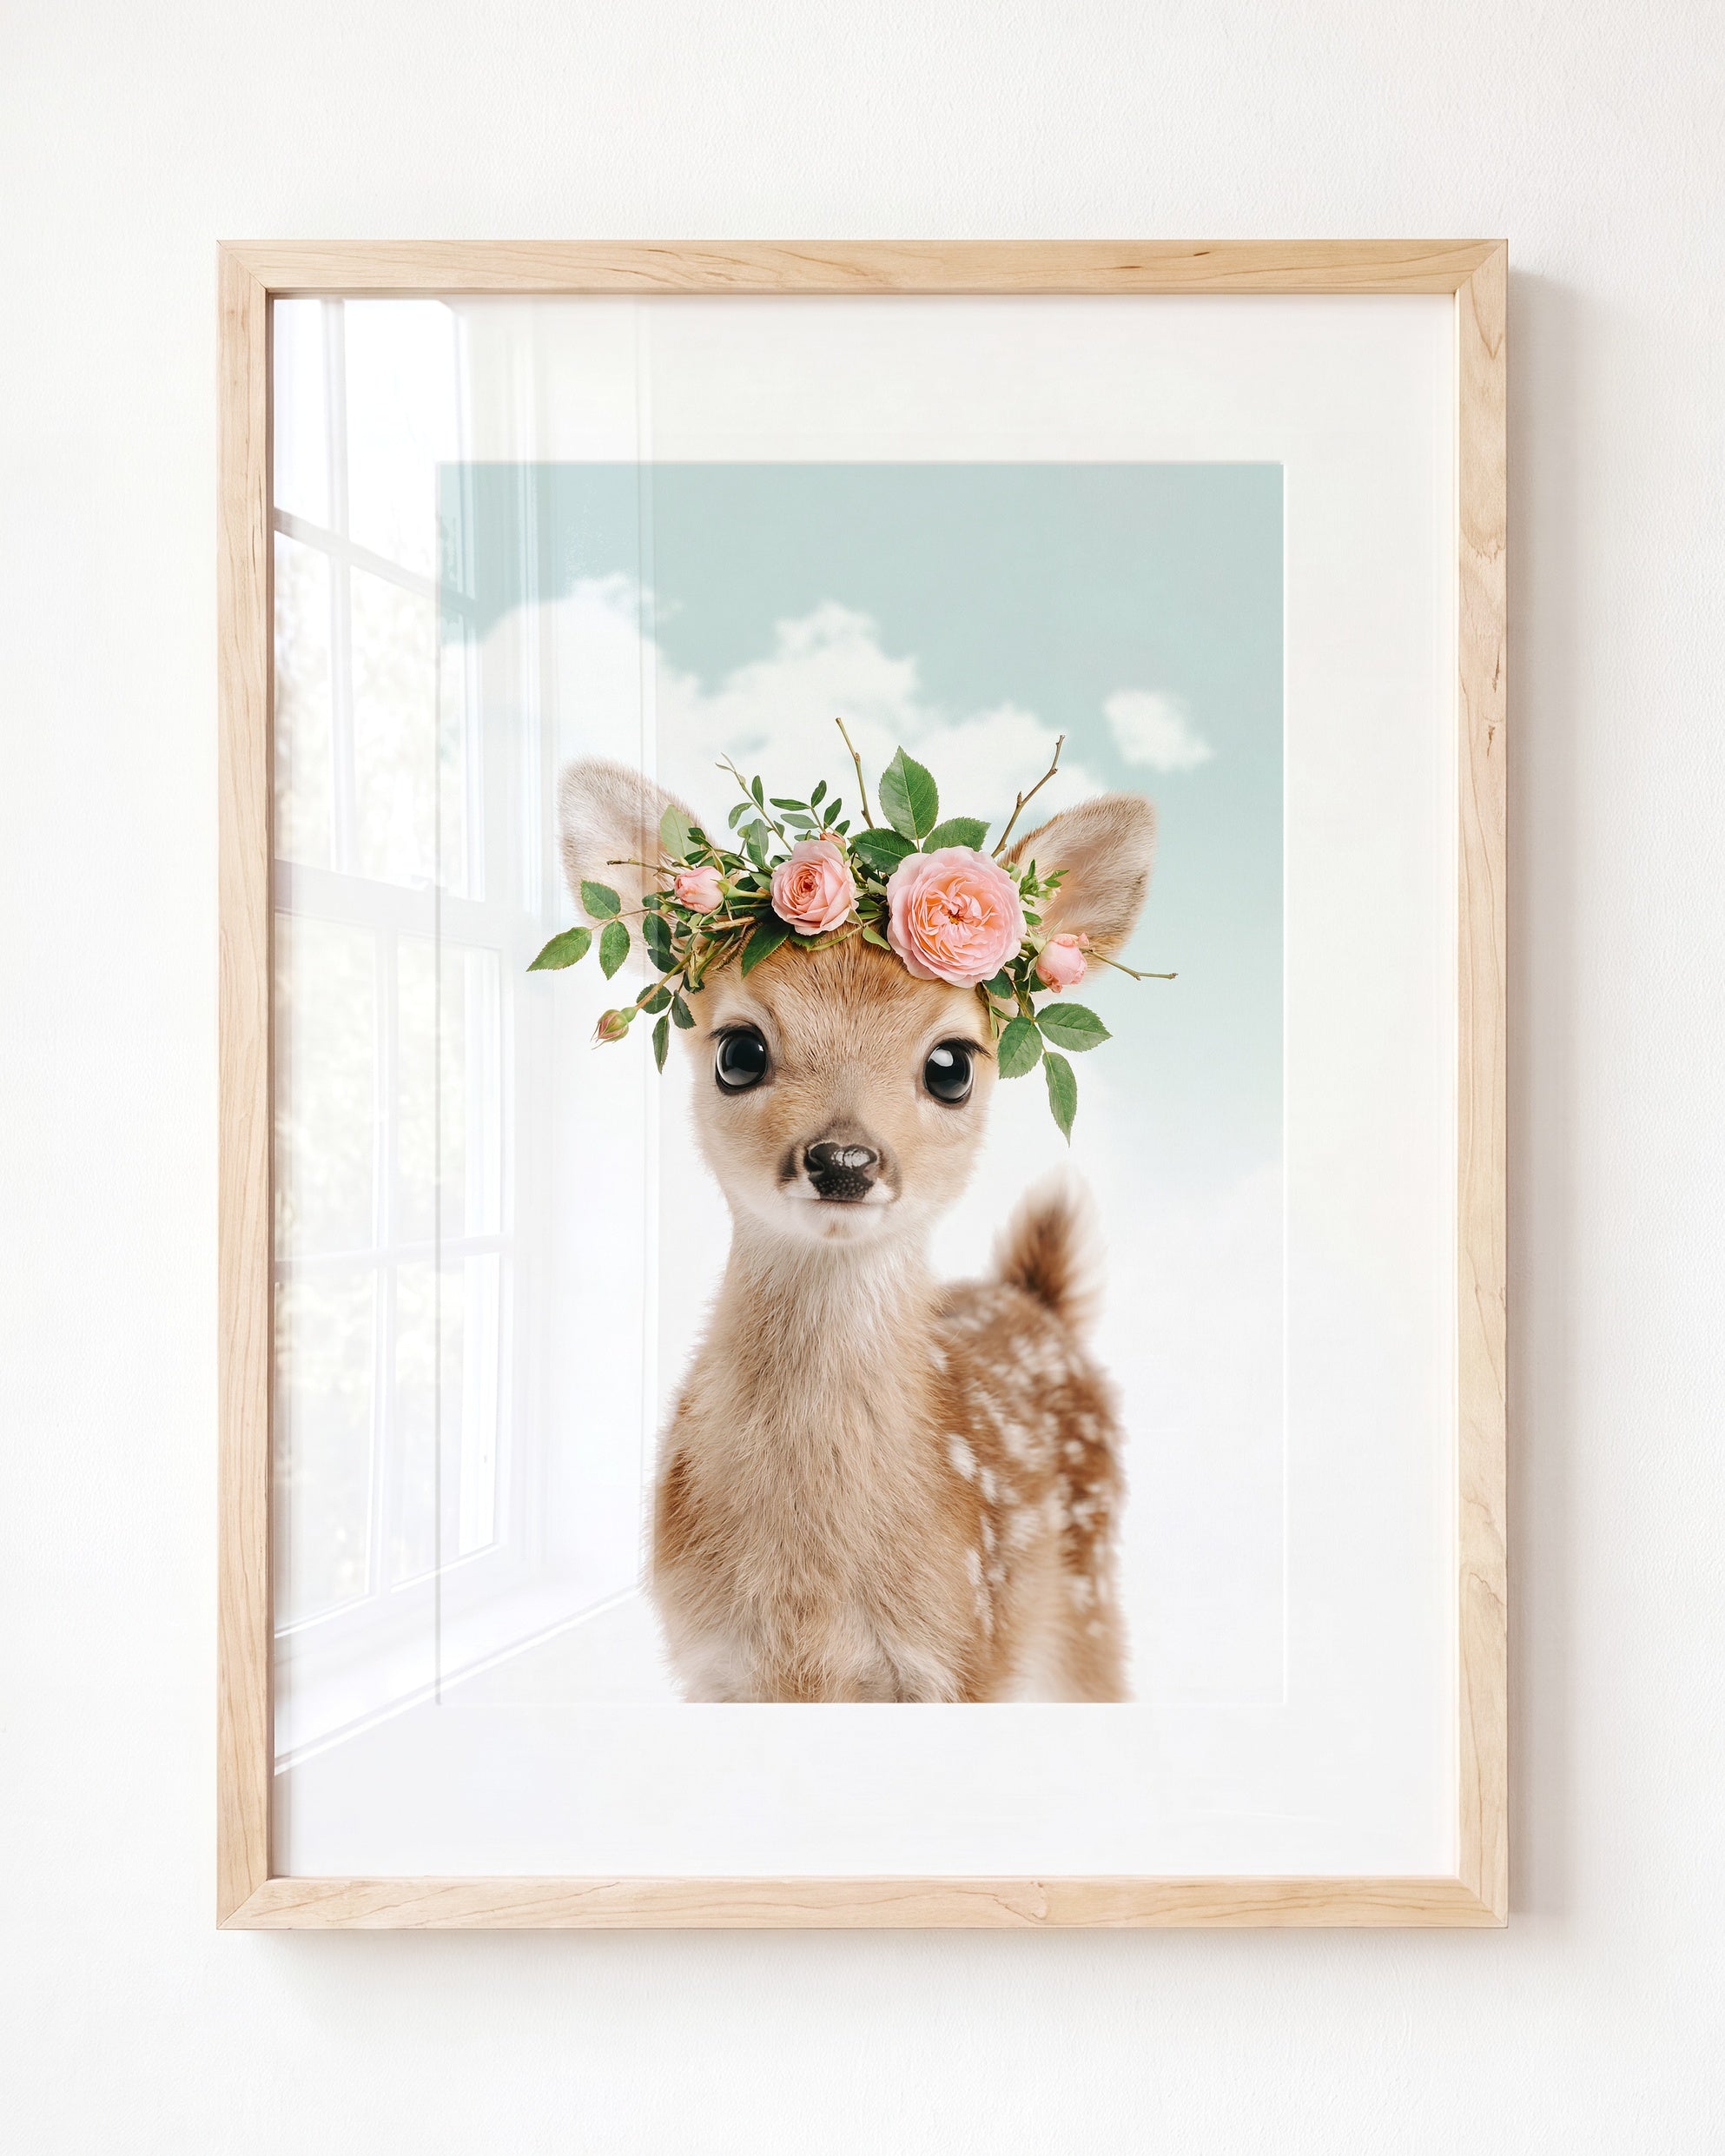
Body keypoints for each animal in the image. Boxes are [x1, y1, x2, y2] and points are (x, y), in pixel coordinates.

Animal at [558, 756, 1157, 1702]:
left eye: (951, 1065)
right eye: (738, 1051)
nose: (843, 1159)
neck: (811, 1600)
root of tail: (1038, 1301)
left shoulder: (961, 1652)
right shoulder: (712, 1663)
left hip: (1085, 1600)